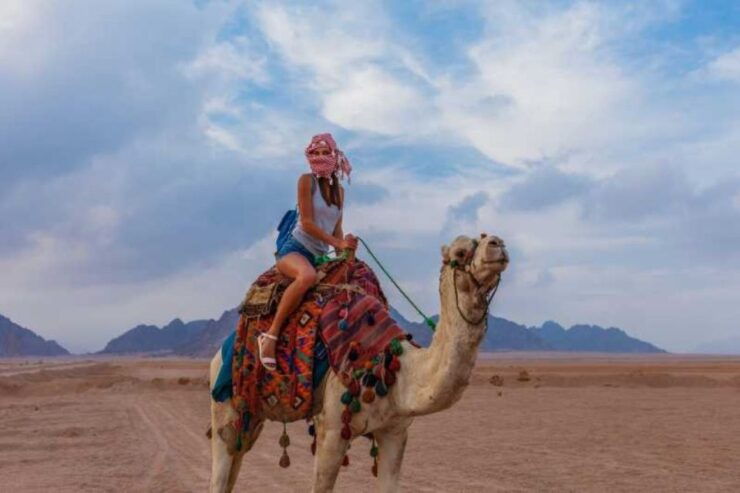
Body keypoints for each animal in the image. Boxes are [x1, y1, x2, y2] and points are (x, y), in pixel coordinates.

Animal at [208, 233, 509, 492]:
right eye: (460, 252)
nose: (499, 243)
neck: (399, 371)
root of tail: (219, 352)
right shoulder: (331, 430)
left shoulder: (395, 431)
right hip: (224, 404)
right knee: (220, 470)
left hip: (251, 415)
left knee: (236, 459)